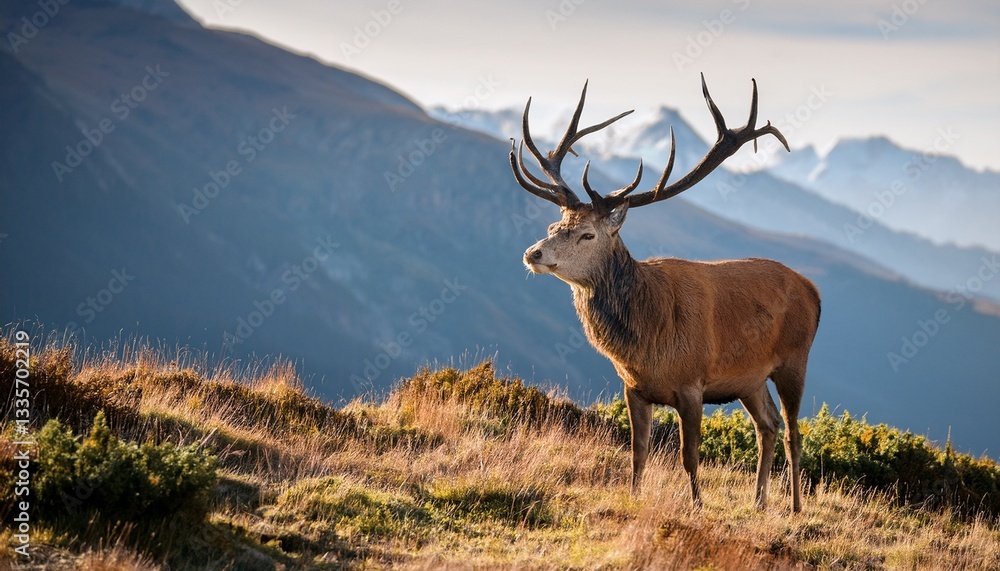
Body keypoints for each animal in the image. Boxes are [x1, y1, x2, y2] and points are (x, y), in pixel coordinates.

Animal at [510, 75, 821, 513]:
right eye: (555, 227)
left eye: (587, 234)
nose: (533, 253)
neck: (647, 341)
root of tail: (814, 291)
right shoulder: (634, 388)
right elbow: (638, 451)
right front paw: (633, 496)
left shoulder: (692, 384)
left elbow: (689, 456)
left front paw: (697, 505)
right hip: (749, 380)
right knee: (769, 424)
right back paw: (758, 502)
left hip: (795, 360)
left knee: (794, 432)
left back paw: (794, 507)